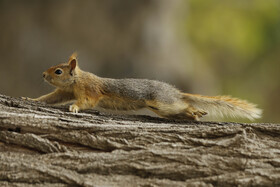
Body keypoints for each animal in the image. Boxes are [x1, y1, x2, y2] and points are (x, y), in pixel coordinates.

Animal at [26, 52, 262, 120]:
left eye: (58, 71)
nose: (43, 74)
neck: (78, 80)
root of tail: (176, 92)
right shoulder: (65, 90)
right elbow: (51, 98)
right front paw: (29, 98)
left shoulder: (90, 90)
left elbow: (86, 102)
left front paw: (75, 107)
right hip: (163, 108)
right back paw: (192, 114)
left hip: (162, 103)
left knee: (183, 104)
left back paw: (195, 110)